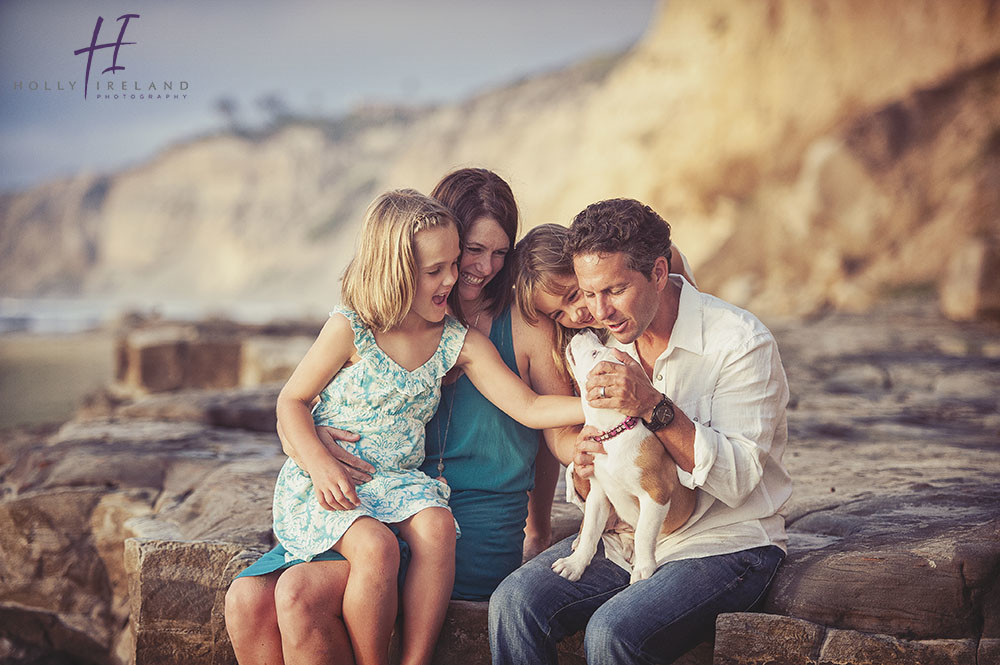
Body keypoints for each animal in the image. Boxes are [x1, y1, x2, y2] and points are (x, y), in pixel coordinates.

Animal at [556, 330, 696, 580]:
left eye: (595, 352)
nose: (584, 330)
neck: (613, 434)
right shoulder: (599, 493)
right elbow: (591, 530)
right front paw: (575, 564)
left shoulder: (656, 493)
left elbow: (644, 534)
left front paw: (644, 568)